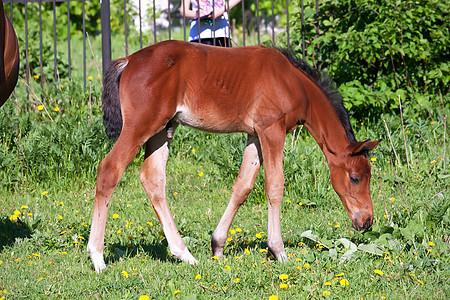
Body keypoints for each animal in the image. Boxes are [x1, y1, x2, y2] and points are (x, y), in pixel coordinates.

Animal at [87, 39, 380, 272]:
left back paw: (185, 254)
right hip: (141, 125)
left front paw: (217, 246)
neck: (292, 82)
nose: (366, 221)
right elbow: (275, 186)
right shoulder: (272, 130)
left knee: (153, 179)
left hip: (163, 129)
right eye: (355, 178)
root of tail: (129, 60)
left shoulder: (255, 134)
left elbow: (243, 186)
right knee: (109, 169)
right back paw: (98, 257)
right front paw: (279, 251)